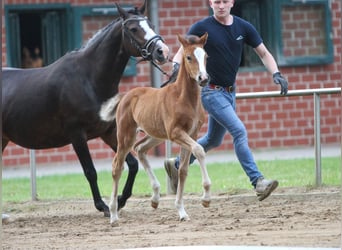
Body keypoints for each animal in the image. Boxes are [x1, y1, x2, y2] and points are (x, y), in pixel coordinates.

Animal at [1, 0, 169, 217]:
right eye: (133, 29)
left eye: (151, 25)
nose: (162, 51)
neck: (89, 79)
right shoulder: (77, 135)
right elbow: (90, 172)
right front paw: (103, 206)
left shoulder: (108, 132)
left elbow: (131, 164)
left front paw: (121, 200)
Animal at [109, 32, 211, 225]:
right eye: (189, 57)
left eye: (206, 56)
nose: (203, 78)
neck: (185, 98)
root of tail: (126, 95)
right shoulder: (176, 133)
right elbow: (199, 150)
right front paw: (206, 198)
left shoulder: (191, 133)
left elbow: (183, 170)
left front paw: (182, 211)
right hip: (126, 136)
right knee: (117, 166)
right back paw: (113, 214)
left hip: (155, 135)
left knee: (140, 149)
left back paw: (155, 198)